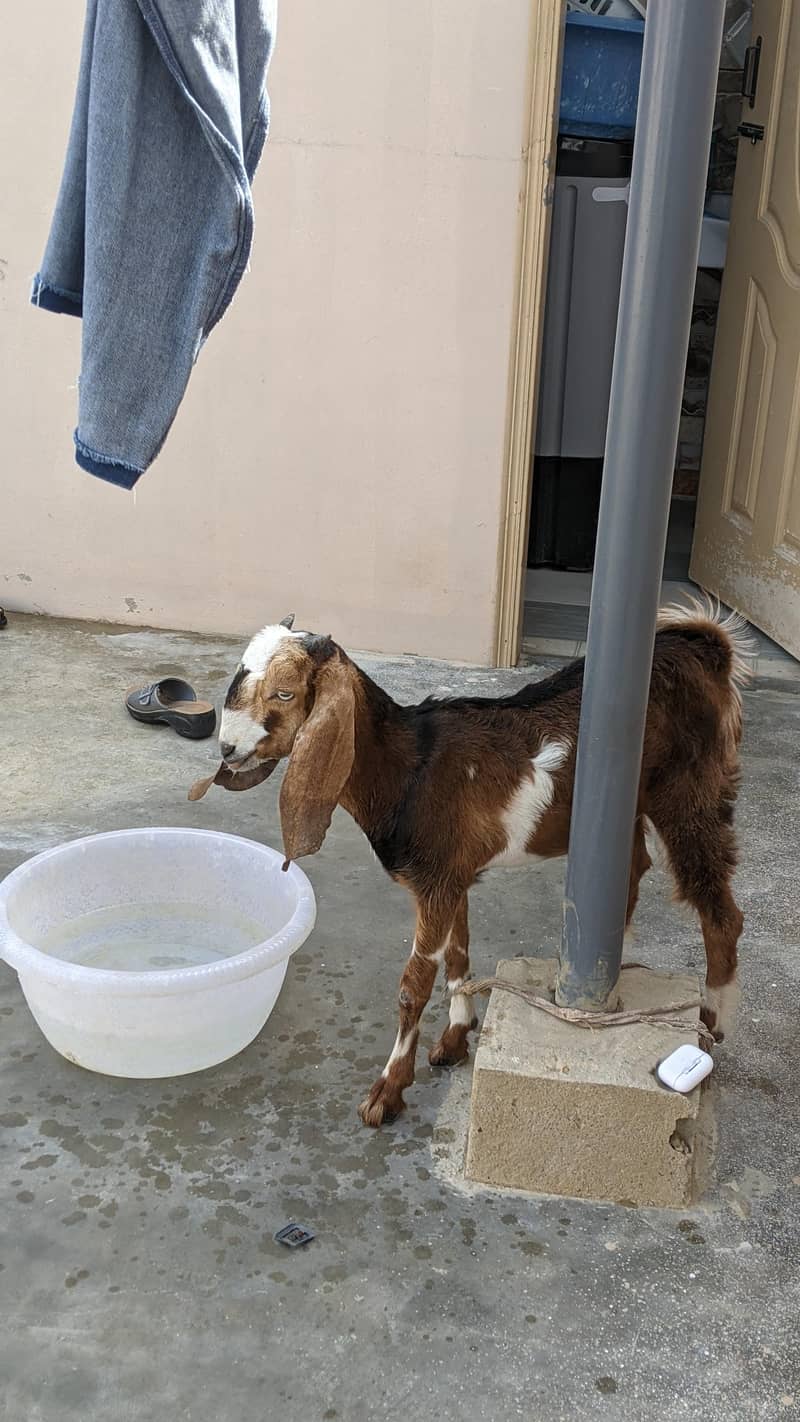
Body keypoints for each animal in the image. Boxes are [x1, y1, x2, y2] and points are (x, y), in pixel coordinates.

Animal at [200, 603, 750, 1128]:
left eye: (285, 693)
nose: (227, 748)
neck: (408, 768)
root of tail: (706, 648)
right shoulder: (451, 878)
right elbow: (458, 957)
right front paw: (455, 1039)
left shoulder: (436, 882)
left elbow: (414, 985)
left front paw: (387, 1092)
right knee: (633, 865)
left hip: (691, 791)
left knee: (721, 910)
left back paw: (712, 1022)